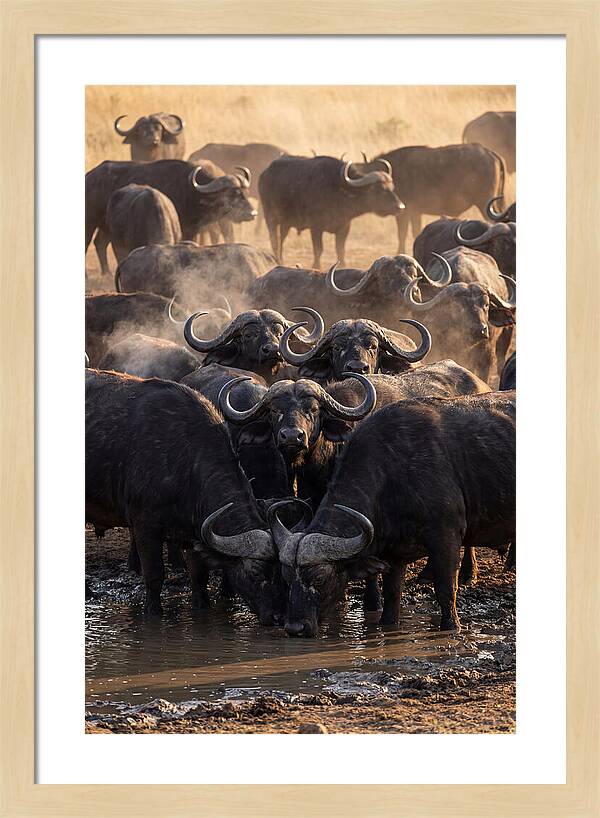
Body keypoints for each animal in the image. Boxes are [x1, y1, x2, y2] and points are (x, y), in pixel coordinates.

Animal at [86, 369, 278, 621]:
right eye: (256, 572)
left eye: (281, 573)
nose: (277, 616)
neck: (185, 460)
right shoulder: (145, 527)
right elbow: (155, 576)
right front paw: (153, 612)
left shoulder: (192, 531)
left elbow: (199, 576)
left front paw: (201, 605)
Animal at [259, 155, 404, 268]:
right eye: (378, 189)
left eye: (391, 187)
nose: (400, 206)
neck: (338, 190)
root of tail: (264, 174)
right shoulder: (316, 228)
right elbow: (318, 249)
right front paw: (316, 266)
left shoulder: (344, 227)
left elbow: (340, 249)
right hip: (270, 217)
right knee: (274, 240)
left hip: (286, 223)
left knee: (281, 239)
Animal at [271, 390, 516, 636]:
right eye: (286, 577)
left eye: (320, 578)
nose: (295, 628)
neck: (393, 473)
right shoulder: (394, 554)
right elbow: (391, 596)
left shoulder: (446, 536)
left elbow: (446, 590)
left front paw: (451, 626)